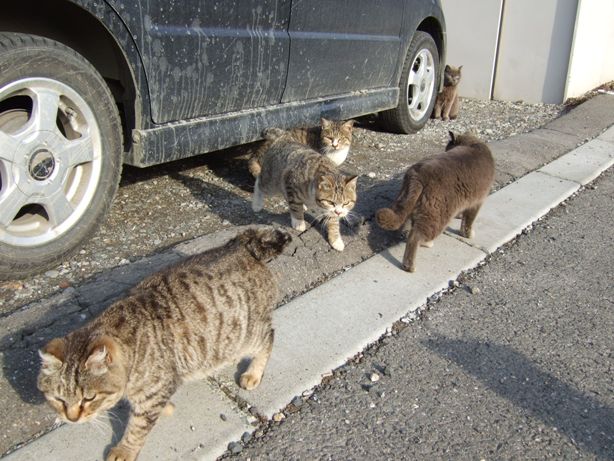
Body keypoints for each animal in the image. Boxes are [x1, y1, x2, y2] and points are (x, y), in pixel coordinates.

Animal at [37, 227, 291, 461]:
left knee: (268, 337)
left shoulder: (153, 392)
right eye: (58, 399)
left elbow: (137, 428)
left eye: (89, 398)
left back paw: (253, 373)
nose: (72, 418)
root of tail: (241, 245)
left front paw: (124, 450)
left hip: (247, 334)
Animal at [375, 131, 494, 272]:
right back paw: (410, 265)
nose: (445, 149)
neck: (472, 143)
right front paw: (468, 234)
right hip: (437, 212)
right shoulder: (477, 201)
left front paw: (459, 217)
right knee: (415, 236)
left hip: (419, 206)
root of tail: (417, 175)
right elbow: (469, 222)